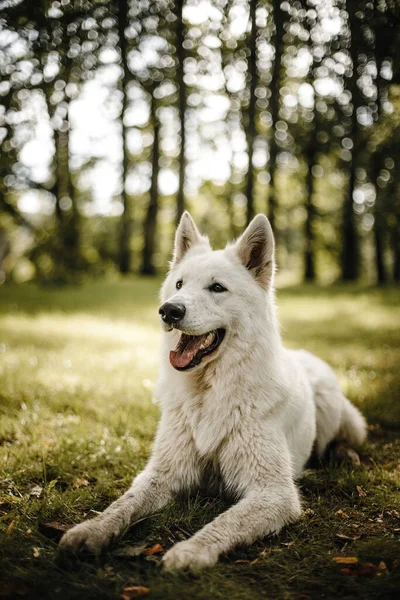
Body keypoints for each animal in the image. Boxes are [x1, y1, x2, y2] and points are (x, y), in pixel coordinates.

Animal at [59, 212, 366, 572]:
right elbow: (123, 504)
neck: (208, 391)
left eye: (217, 288)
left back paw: (345, 453)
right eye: (179, 285)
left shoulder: (274, 492)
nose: (169, 310)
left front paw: (190, 551)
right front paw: (90, 529)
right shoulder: (162, 473)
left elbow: (225, 521)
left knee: (343, 437)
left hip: (332, 407)